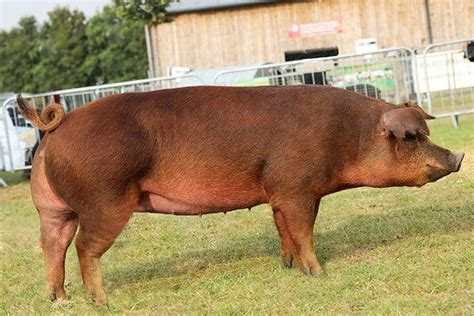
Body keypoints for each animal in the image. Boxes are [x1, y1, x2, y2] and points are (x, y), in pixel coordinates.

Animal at [15, 86, 462, 304]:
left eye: (425, 131)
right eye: (412, 137)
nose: (458, 156)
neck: (348, 138)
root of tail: (58, 125)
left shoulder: (278, 191)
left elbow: (284, 230)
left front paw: (288, 266)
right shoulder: (298, 186)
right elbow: (304, 230)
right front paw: (318, 273)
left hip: (52, 207)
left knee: (52, 245)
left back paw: (58, 298)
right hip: (104, 200)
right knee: (84, 248)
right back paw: (100, 301)